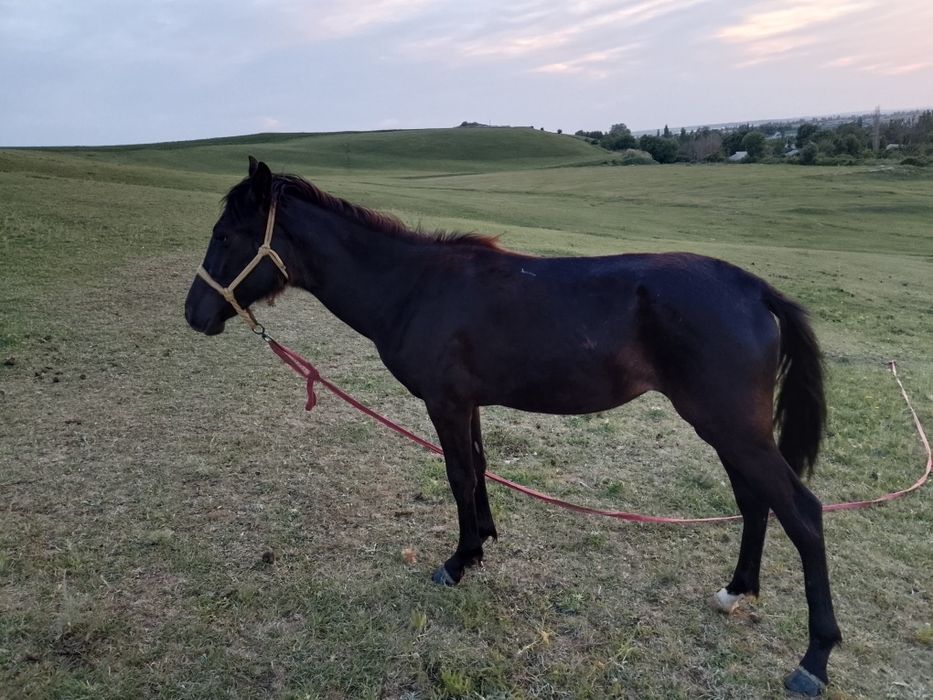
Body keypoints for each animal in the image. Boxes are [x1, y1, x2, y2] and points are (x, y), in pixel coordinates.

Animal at [184, 158, 840, 696]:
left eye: (225, 236)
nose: (194, 313)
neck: (415, 287)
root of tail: (755, 290)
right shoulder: (467, 403)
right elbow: (478, 469)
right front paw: (481, 543)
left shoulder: (445, 403)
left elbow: (457, 475)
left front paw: (458, 560)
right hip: (728, 430)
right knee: (755, 503)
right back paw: (736, 591)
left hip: (732, 428)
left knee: (802, 514)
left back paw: (814, 660)